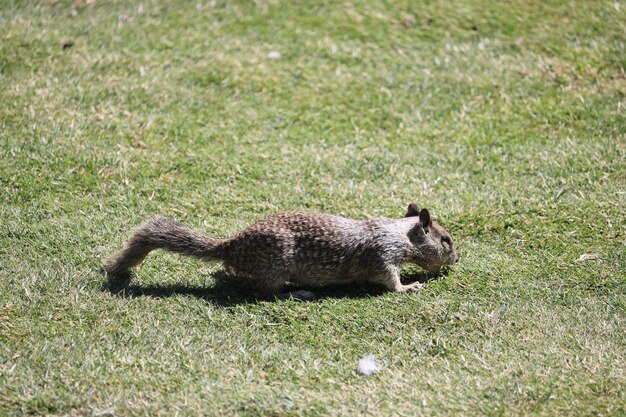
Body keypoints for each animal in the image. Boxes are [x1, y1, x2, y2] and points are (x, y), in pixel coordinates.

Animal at [103, 202, 458, 298]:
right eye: (446, 241)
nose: (457, 258)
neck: (400, 233)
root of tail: (231, 247)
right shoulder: (384, 256)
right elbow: (390, 280)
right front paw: (410, 286)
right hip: (277, 262)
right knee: (264, 290)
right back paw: (296, 292)